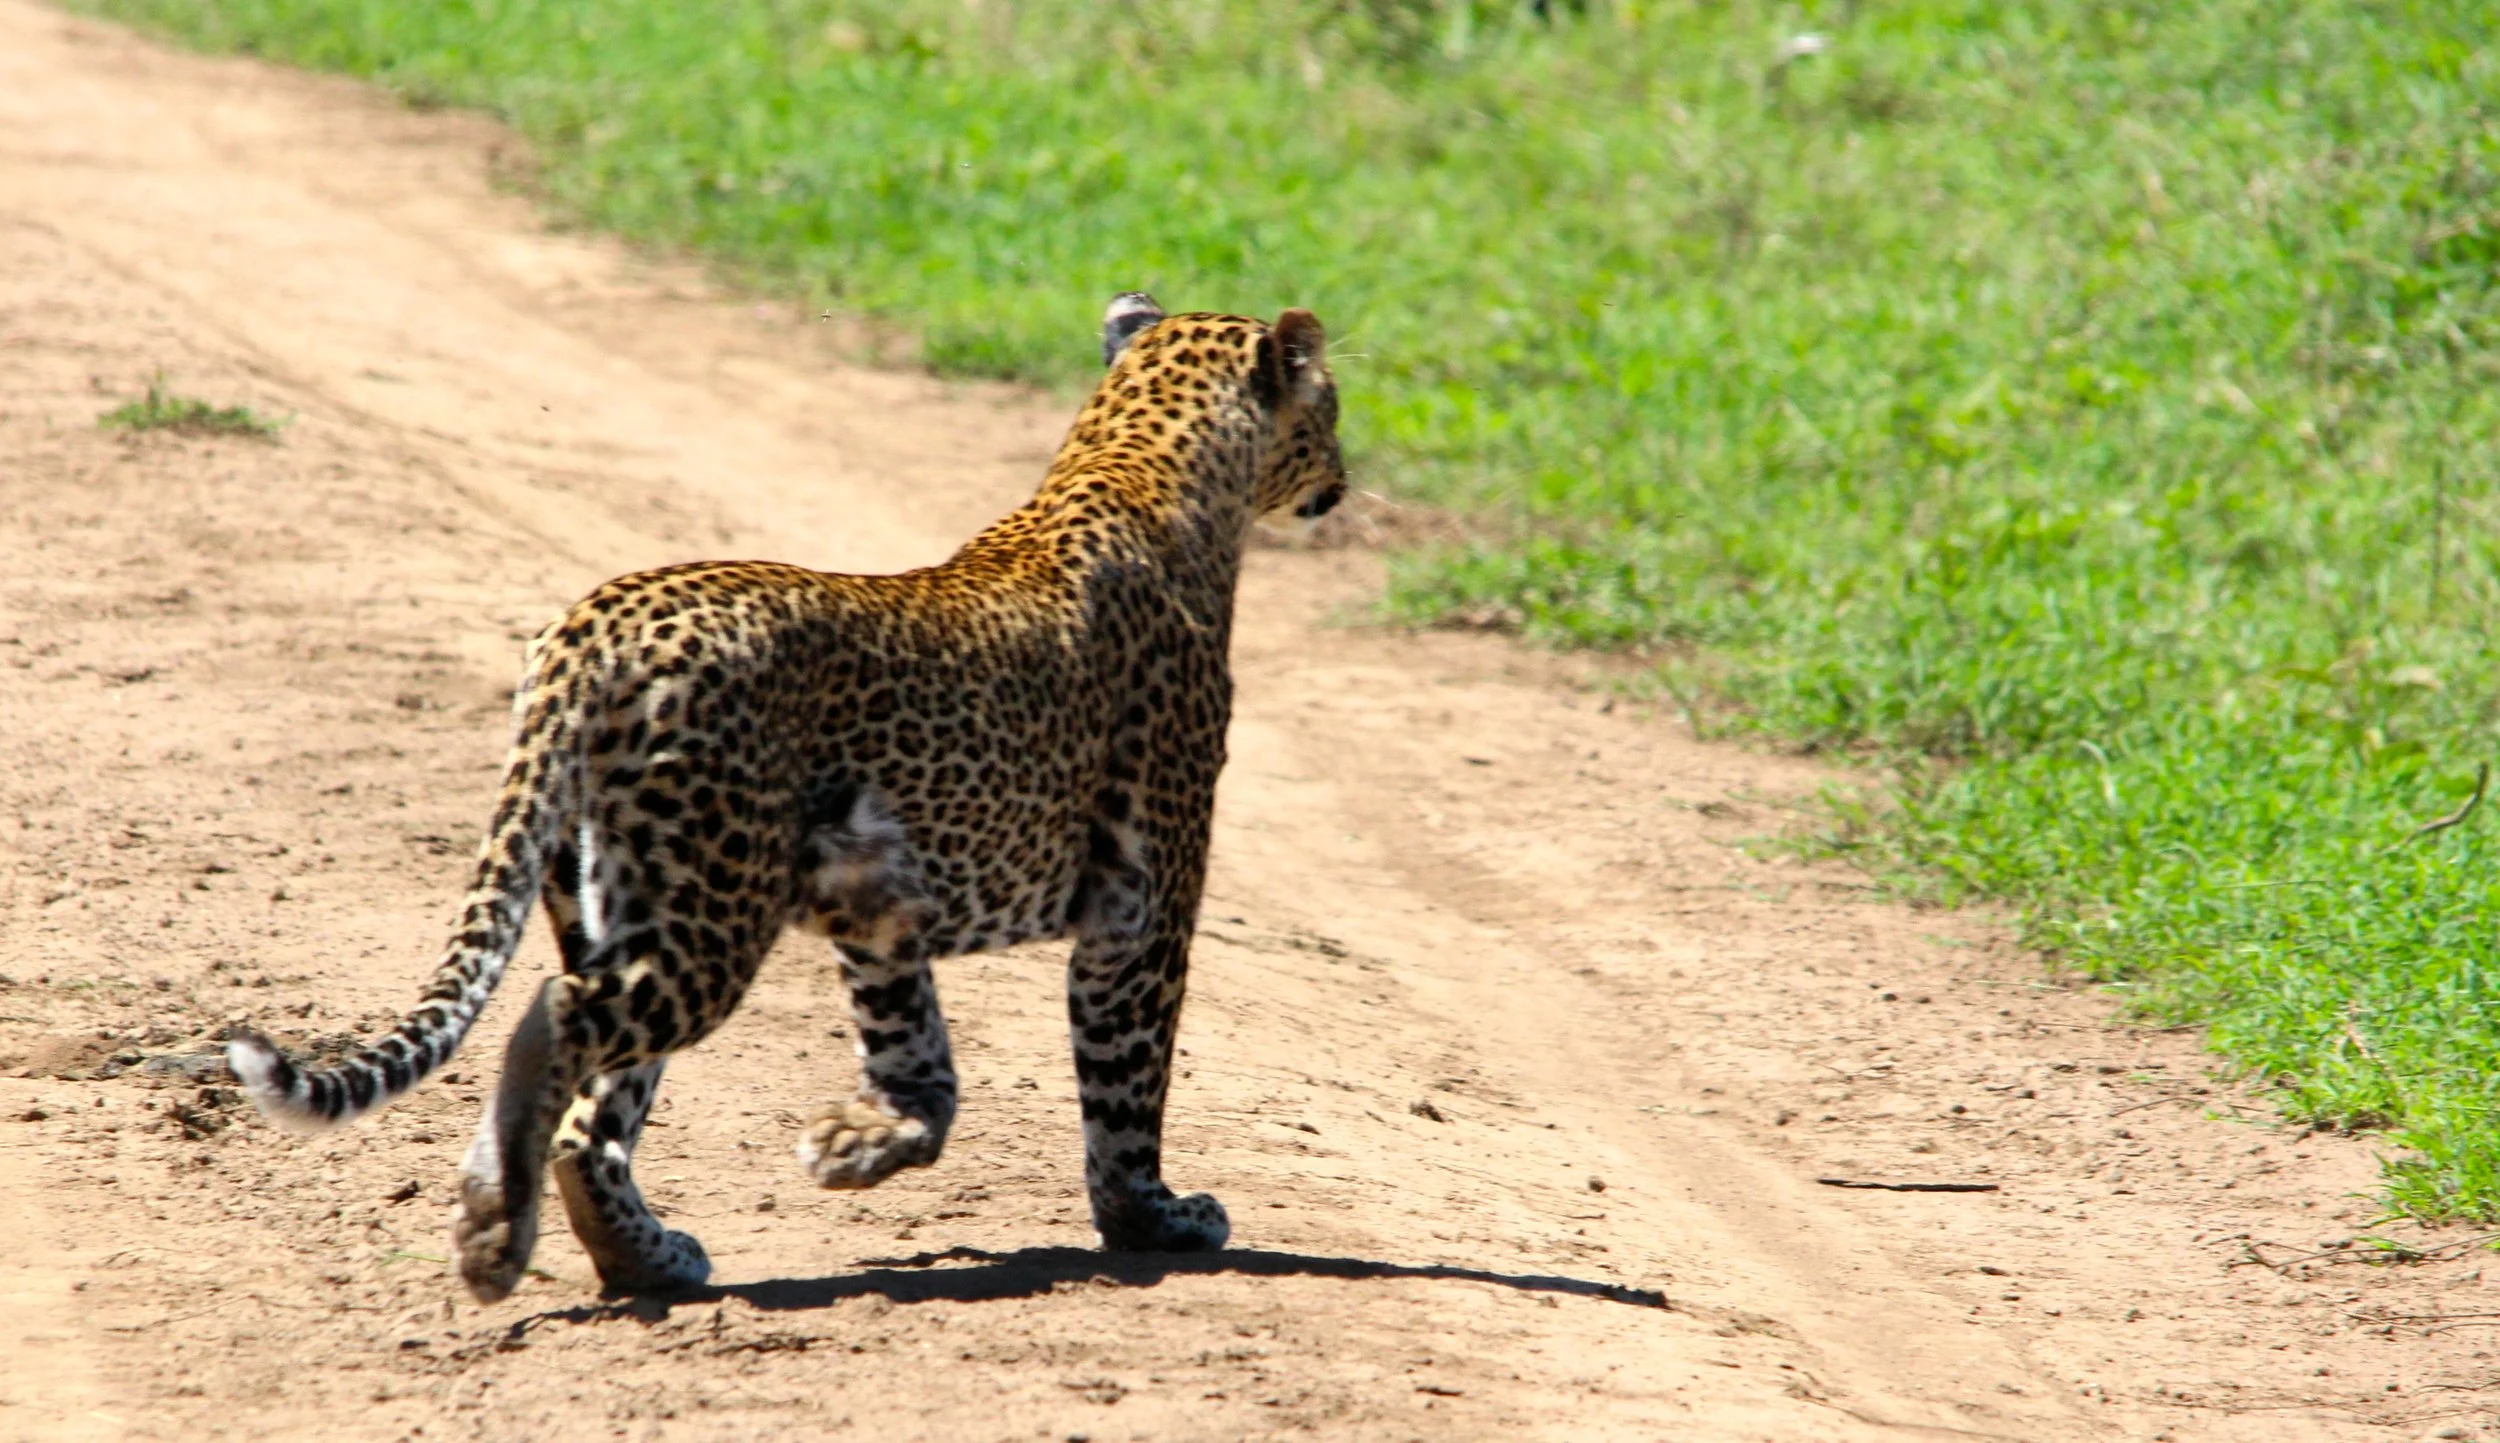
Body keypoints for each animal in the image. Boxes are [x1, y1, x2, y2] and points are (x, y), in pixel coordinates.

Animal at [227, 293, 1345, 1302]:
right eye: (1332, 405)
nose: (1345, 475)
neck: (1137, 460)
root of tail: (591, 623)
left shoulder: (873, 889)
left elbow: (914, 1047)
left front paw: (868, 1141)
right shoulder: (1142, 903)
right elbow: (1127, 1080)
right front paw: (1151, 1218)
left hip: (616, 896)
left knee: (596, 1115)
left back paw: (639, 1257)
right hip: (707, 914)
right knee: (559, 1023)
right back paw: (499, 1231)